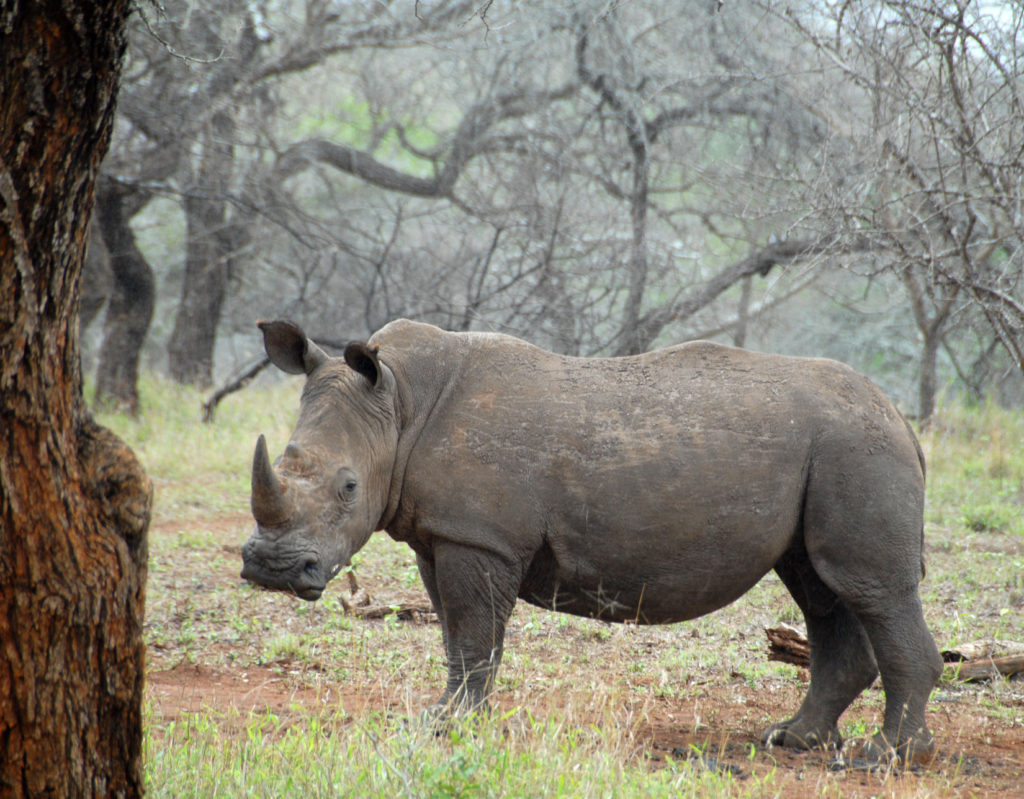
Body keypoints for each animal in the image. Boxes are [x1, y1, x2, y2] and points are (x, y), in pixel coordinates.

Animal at [240, 318, 942, 764]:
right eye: (289, 460)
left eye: (348, 487)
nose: (270, 570)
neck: (399, 404)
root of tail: (901, 419)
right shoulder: (442, 537)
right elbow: (457, 637)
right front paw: (447, 721)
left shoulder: (480, 539)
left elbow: (471, 633)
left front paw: (455, 726)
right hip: (834, 451)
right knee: (820, 590)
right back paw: (792, 742)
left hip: (856, 449)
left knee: (869, 589)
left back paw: (886, 758)